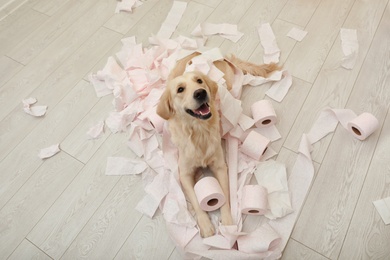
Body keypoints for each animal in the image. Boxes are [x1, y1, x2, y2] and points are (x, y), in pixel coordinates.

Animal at [157, 52, 278, 238]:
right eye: (180, 89)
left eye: (199, 81)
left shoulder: (220, 166)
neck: (199, 132)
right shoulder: (184, 174)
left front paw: (228, 223)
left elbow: (225, 196)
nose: (200, 93)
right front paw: (206, 225)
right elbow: (196, 200)